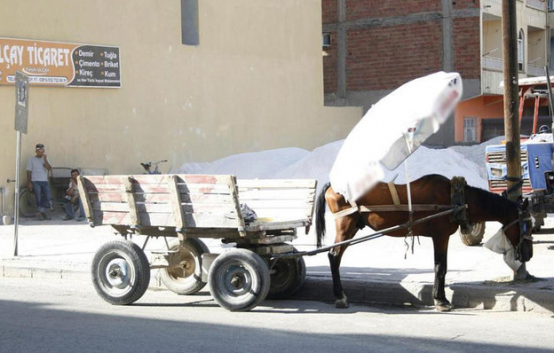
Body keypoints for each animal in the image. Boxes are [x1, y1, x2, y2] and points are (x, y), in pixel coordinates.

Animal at [316, 174, 532, 310]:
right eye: (527, 225)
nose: (528, 254)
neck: (455, 198)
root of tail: (332, 184)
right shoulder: (441, 235)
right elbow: (440, 267)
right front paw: (441, 300)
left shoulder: (441, 236)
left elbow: (440, 266)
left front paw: (440, 297)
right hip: (346, 226)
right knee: (334, 256)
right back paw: (340, 297)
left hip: (351, 227)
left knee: (335, 257)